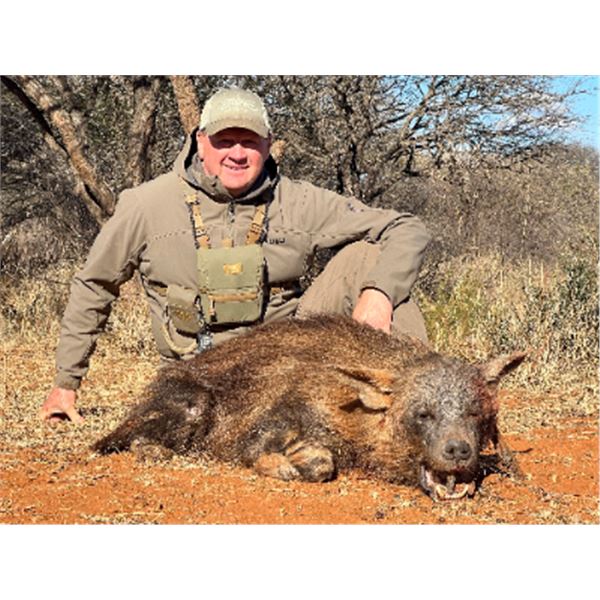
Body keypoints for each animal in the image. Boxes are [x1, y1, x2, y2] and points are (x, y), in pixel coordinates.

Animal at [93, 314, 525, 500]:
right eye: (423, 414)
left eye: (476, 414)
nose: (458, 451)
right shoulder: (271, 419)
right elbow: (297, 460)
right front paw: (289, 466)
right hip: (190, 407)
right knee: (136, 439)